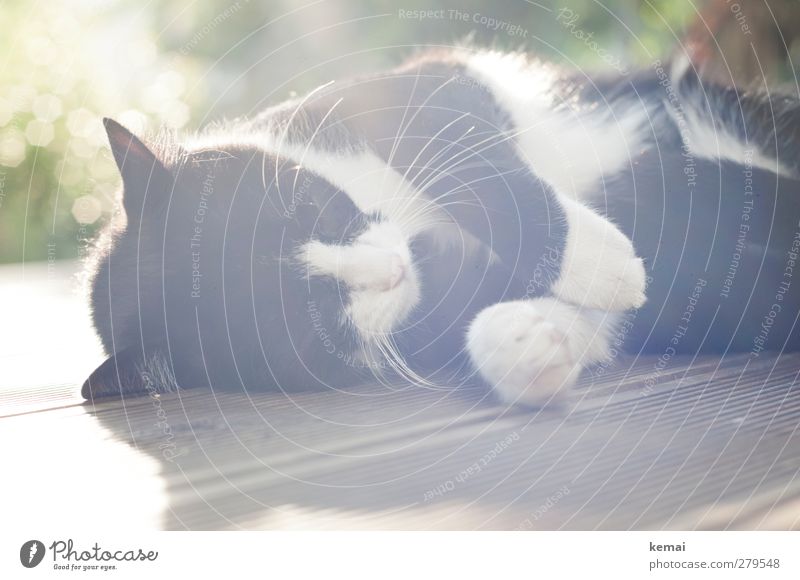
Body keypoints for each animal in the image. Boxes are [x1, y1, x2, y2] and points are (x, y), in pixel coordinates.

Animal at [81, 47, 800, 406]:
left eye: (307, 210)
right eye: (314, 315)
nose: (394, 268)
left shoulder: (424, 84)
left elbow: (473, 164)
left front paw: (598, 259)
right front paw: (528, 341)